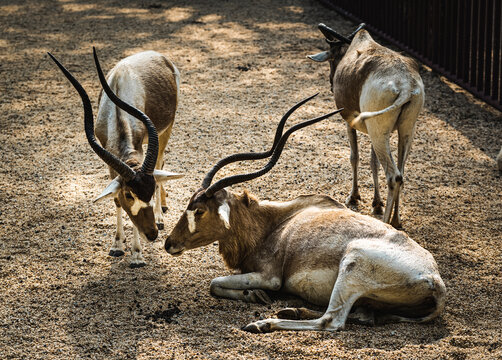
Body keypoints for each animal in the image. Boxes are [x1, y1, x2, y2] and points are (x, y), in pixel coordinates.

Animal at [48, 48, 182, 268]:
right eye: (129, 194)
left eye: (150, 189)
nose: (152, 234)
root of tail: (159, 55)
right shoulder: (110, 161)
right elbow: (116, 202)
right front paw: (118, 245)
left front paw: (137, 255)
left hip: (166, 128)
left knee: (160, 160)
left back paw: (159, 215)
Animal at [166, 95, 448, 332]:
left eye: (199, 210)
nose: (169, 243)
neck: (272, 224)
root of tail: (435, 281)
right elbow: (215, 284)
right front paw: (252, 295)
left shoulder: (270, 276)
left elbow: (214, 282)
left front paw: (255, 295)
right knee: (361, 315)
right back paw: (293, 310)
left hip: (352, 263)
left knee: (331, 321)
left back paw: (264, 323)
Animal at [308, 23, 426, 228]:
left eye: (332, 58)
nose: (331, 83)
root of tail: (406, 87)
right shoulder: (373, 131)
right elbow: (373, 162)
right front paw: (376, 203)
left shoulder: (349, 121)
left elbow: (354, 157)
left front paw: (353, 197)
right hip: (403, 130)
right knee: (401, 172)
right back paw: (396, 220)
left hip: (378, 132)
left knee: (394, 176)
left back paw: (387, 224)